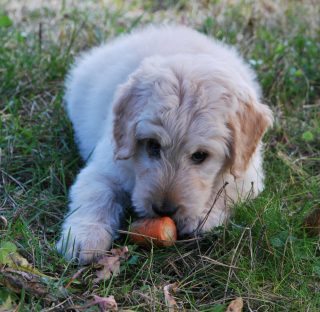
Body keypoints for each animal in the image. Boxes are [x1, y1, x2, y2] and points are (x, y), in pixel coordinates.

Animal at [57, 25, 272, 264]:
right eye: (152, 145)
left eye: (200, 155)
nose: (164, 210)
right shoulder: (105, 166)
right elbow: (96, 195)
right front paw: (84, 237)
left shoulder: (248, 175)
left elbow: (226, 191)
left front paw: (202, 217)